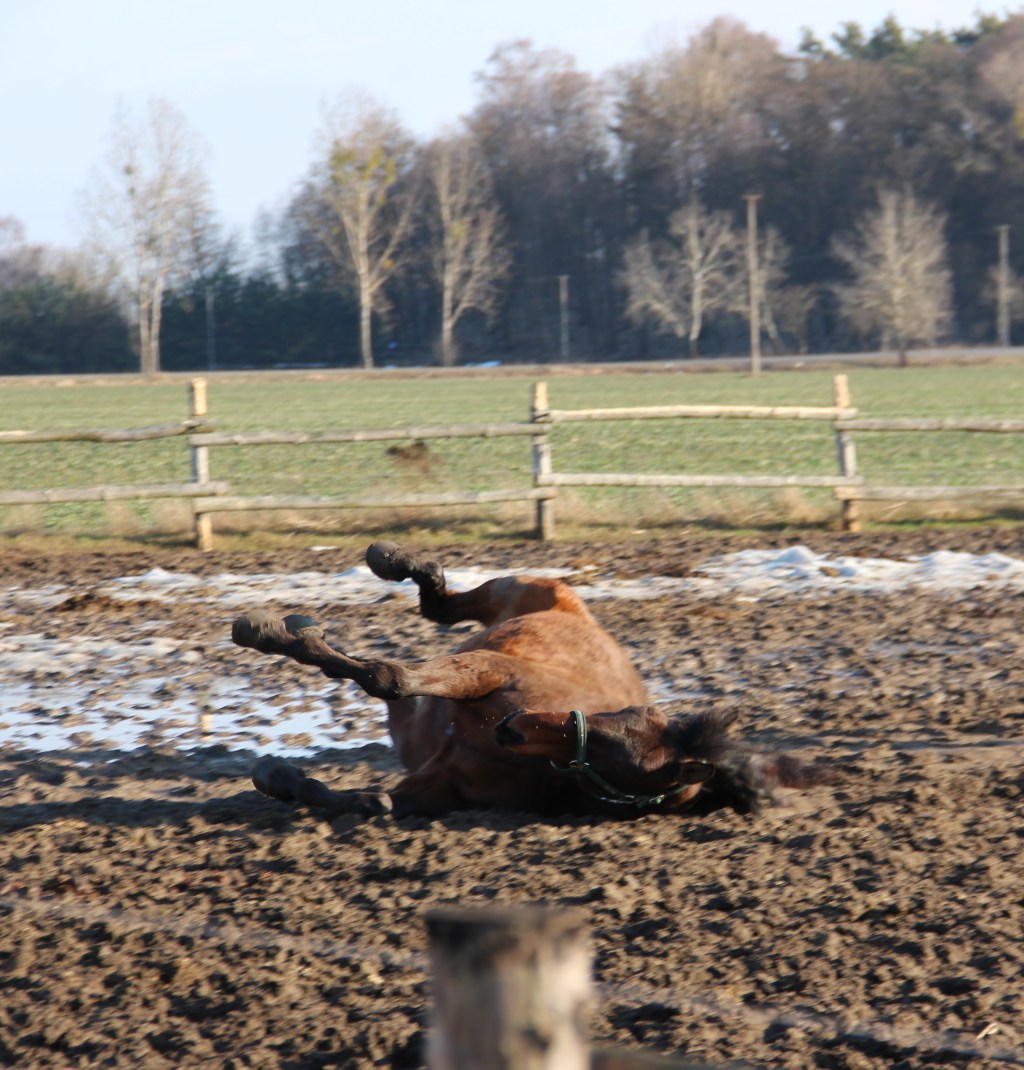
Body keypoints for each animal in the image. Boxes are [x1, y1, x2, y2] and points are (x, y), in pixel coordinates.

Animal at [231, 541, 830, 820]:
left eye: (621, 762)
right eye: (621, 718)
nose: (513, 727)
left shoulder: (438, 784)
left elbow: (367, 796)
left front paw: (275, 774)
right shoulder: (489, 669)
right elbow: (392, 677)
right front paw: (271, 634)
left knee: (432, 614)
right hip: (517, 591)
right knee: (438, 603)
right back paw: (374, 568)